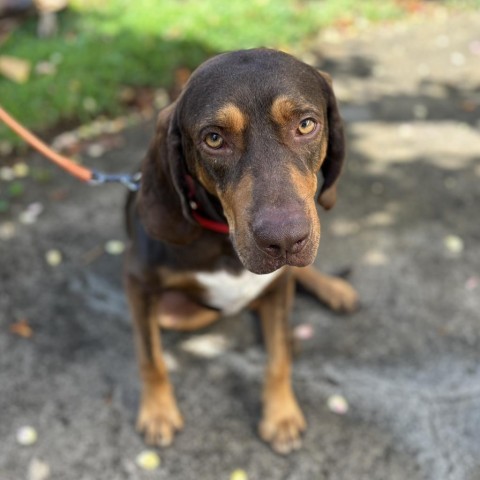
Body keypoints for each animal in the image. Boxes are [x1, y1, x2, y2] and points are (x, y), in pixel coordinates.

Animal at [125, 47, 358, 454]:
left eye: (306, 125)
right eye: (214, 139)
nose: (285, 240)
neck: (224, 241)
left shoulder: (279, 284)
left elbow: (278, 359)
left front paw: (280, 415)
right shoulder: (138, 284)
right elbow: (150, 358)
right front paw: (157, 412)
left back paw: (330, 291)